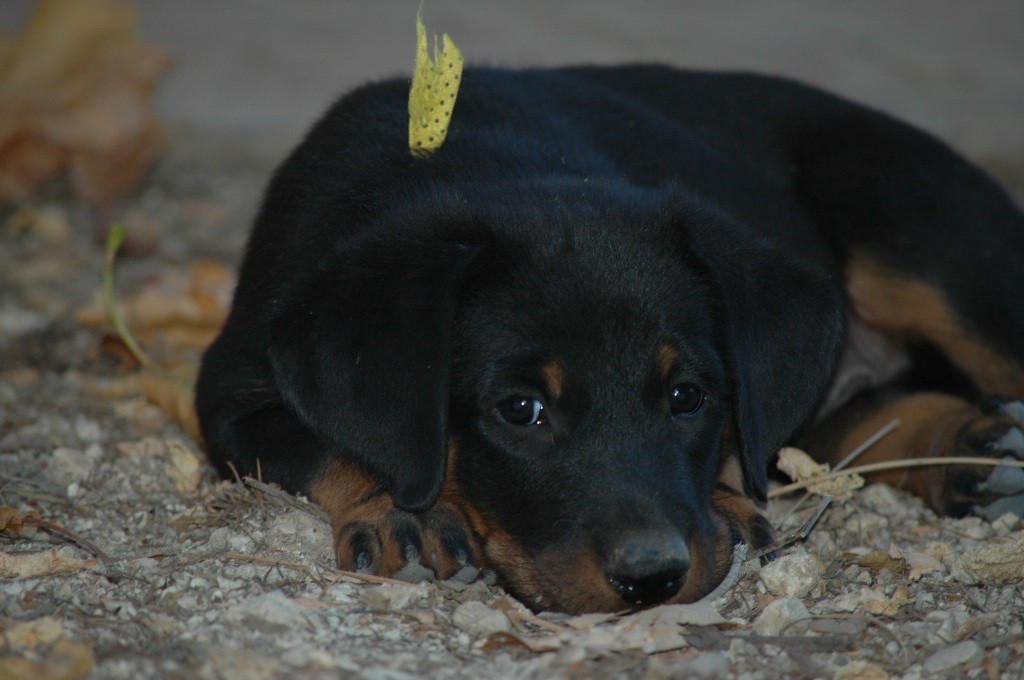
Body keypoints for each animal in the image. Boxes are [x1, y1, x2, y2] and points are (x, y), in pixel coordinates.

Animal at [195, 66, 1024, 614]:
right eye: (520, 410)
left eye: (688, 397)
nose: (652, 578)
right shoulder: (232, 391)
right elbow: (324, 441)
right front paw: (409, 511)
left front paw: (724, 506)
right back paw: (973, 450)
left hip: (923, 227)